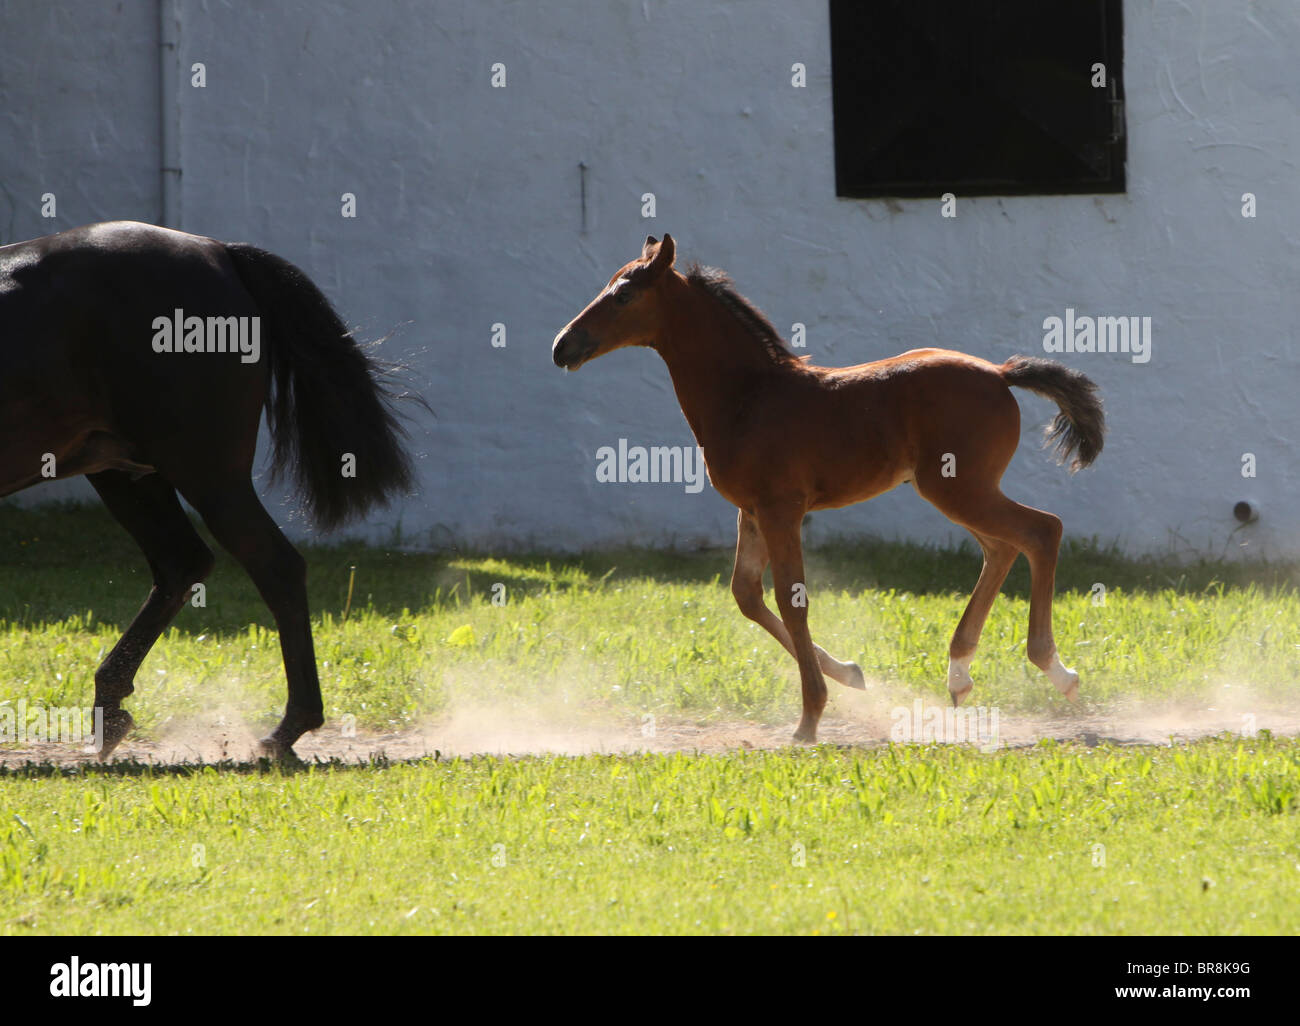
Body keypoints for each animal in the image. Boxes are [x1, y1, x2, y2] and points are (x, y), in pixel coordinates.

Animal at [0, 220, 418, 759]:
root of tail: (219, 252)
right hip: (127, 471)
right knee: (183, 564)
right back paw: (111, 709)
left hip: (205, 472)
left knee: (274, 566)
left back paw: (288, 729)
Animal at [552, 234, 1104, 743]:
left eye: (624, 294)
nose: (562, 346)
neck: (747, 396)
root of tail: (1000, 373)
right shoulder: (751, 512)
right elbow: (746, 595)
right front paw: (849, 674)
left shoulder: (782, 508)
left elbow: (790, 597)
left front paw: (810, 717)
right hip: (957, 490)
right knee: (1002, 548)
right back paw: (960, 674)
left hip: (959, 488)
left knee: (1040, 531)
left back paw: (1056, 670)